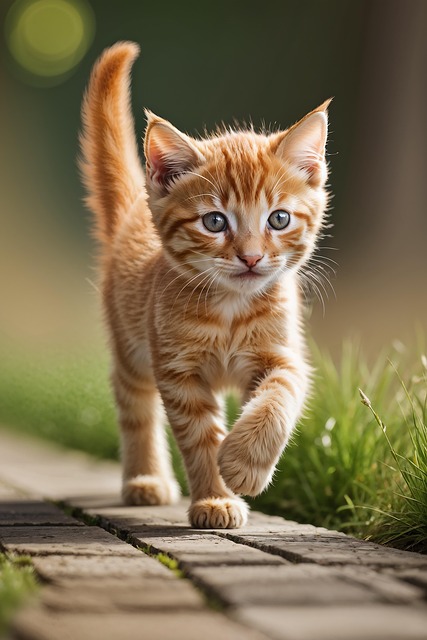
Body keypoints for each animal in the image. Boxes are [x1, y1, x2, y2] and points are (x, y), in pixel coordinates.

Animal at [81, 42, 334, 528]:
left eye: (279, 219)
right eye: (215, 222)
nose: (251, 257)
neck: (231, 307)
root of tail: (134, 211)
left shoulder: (283, 355)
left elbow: (279, 397)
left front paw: (243, 462)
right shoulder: (179, 373)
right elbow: (200, 439)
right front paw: (216, 497)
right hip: (133, 346)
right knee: (135, 404)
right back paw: (145, 478)